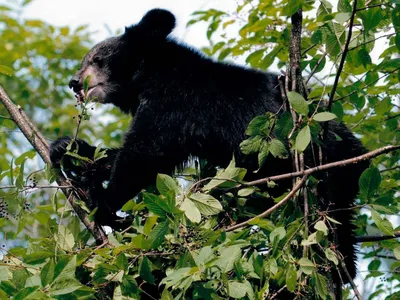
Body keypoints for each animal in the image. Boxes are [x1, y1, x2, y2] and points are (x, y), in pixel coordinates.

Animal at [50, 8, 368, 282]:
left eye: (98, 59)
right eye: (87, 59)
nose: (74, 82)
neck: (150, 75)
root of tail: (361, 155)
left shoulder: (174, 103)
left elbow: (146, 153)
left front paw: (102, 199)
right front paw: (69, 150)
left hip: (328, 168)